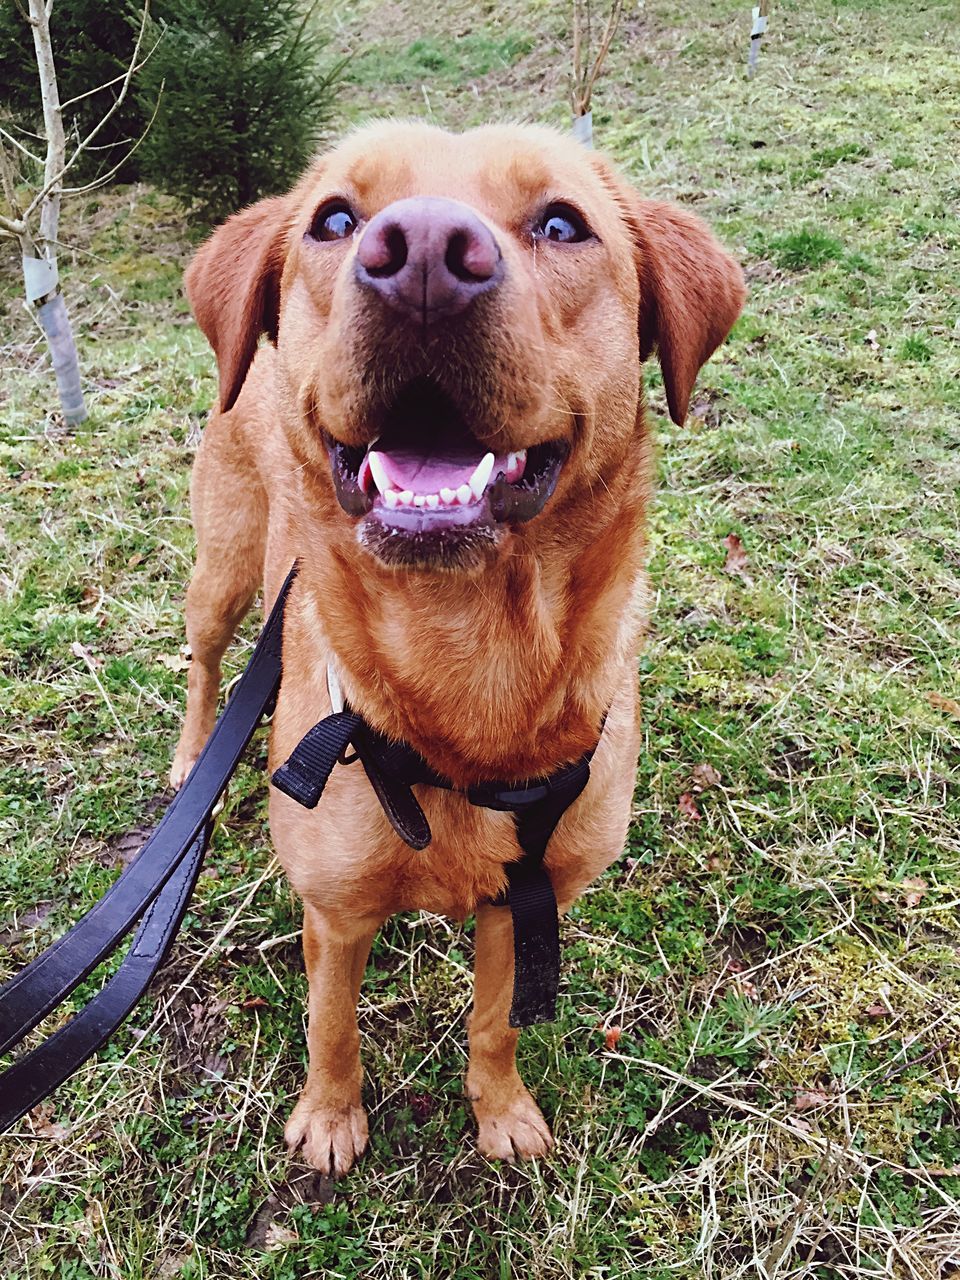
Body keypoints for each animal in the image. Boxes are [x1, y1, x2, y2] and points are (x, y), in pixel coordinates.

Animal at [171, 120, 742, 1172]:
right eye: (335, 220)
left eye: (561, 223)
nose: (424, 257)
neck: (470, 659)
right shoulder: (336, 912)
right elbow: (331, 1025)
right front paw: (330, 1121)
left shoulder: (525, 901)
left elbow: (494, 1023)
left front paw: (501, 1112)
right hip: (222, 574)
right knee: (202, 661)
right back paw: (194, 758)